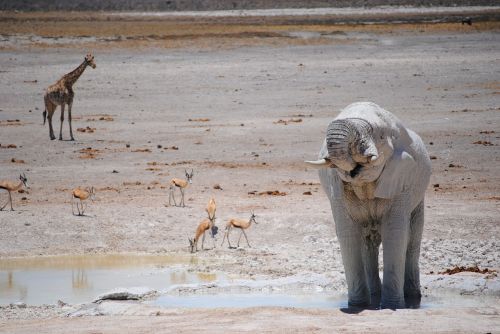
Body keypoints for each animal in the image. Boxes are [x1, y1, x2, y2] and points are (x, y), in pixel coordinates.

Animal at [306, 102, 432, 310]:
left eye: (379, 136)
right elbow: (347, 232)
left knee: (413, 239)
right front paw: (356, 307)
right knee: (367, 243)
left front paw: (392, 306)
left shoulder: (402, 181)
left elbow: (395, 233)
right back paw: (374, 296)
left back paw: (413, 299)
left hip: (419, 196)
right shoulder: (336, 189)